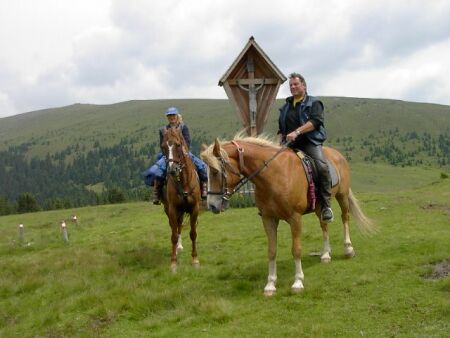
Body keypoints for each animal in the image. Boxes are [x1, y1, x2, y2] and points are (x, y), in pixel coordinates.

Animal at [159, 127, 200, 272]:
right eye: (163, 146)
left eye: (178, 145)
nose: (172, 170)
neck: (183, 181)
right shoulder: (172, 209)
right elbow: (173, 235)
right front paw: (173, 262)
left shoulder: (195, 208)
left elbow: (193, 233)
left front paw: (195, 260)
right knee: (175, 228)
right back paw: (176, 249)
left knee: (180, 226)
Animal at [201, 135, 376, 296]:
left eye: (215, 171)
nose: (212, 205)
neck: (274, 175)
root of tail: (338, 154)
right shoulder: (268, 219)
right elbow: (271, 251)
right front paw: (270, 284)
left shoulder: (295, 218)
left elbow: (296, 249)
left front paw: (298, 281)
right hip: (320, 206)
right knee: (324, 225)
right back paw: (326, 254)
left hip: (342, 196)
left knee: (345, 218)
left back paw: (348, 249)